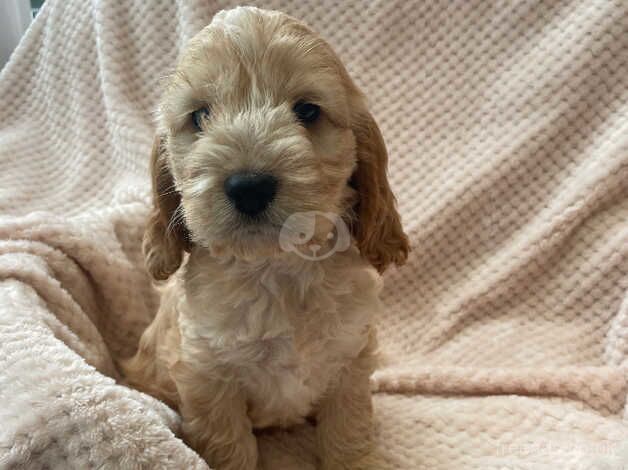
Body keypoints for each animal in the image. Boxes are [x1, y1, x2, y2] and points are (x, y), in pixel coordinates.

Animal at [121, 7, 408, 470]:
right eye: (199, 116)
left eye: (307, 110)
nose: (249, 187)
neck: (275, 268)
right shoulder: (206, 378)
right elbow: (229, 447)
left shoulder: (349, 363)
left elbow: (348, 433)